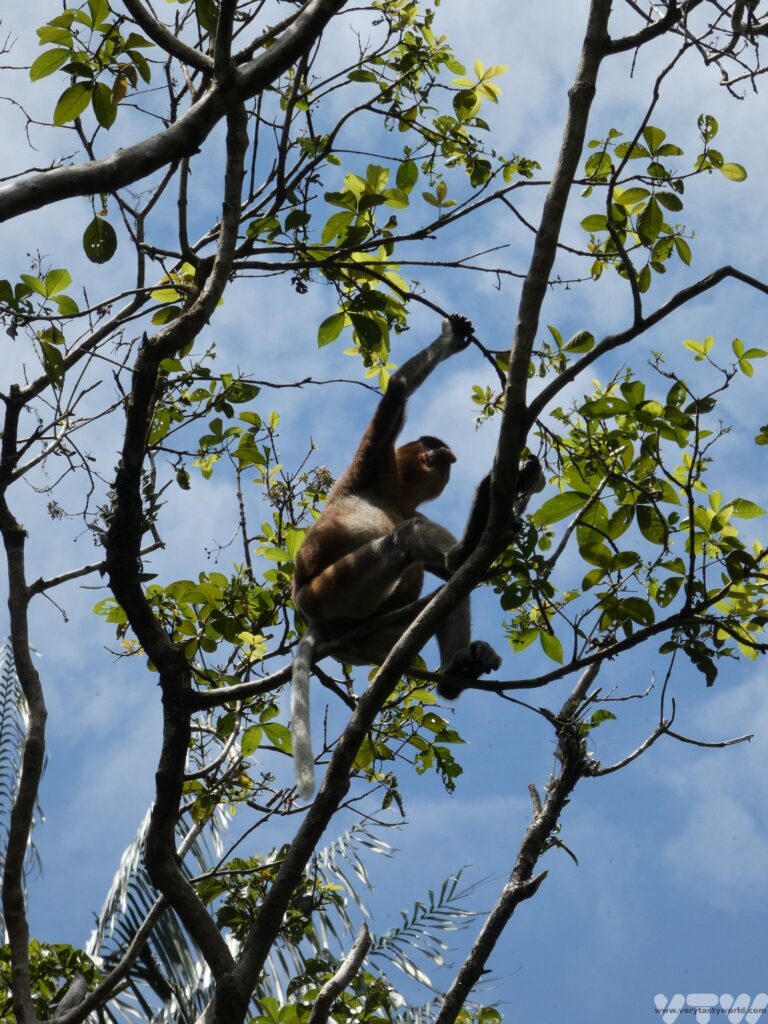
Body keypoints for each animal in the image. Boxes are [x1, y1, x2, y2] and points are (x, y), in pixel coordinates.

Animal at [289, 314, 543, 799]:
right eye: (430, 443)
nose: (447, 455)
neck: (397, 492)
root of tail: (310, 617)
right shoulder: (372, 462)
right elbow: (398, 390)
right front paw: (451, 338)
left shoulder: (409, 502)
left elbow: (440, 569)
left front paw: (520, 483)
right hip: (334, 589)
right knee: (404, 541)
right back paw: (462, 555)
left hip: (379, 634)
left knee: (449, 589)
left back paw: (459, 671)